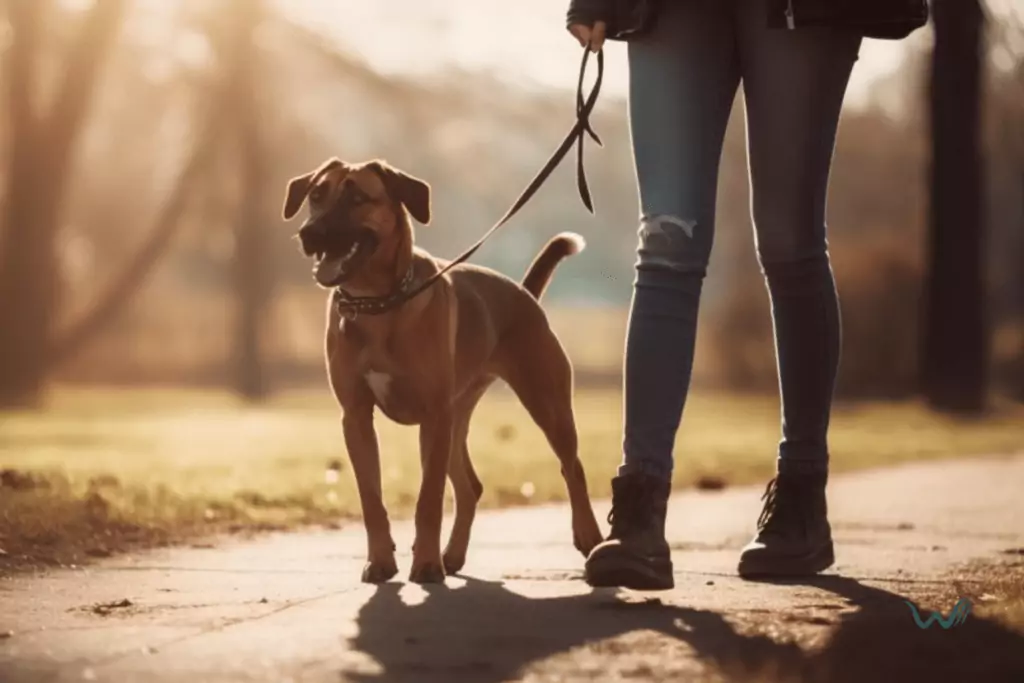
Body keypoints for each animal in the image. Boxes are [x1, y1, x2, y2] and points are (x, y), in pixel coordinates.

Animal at [280, 157, 602, 585]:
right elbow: (371, 499)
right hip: (454, 419)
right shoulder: (357, 418)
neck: (378, 303)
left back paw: (589, 536)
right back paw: (453, 553)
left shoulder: (433, 416)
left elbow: (429, 499)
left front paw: (427, 563)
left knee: (573, 468)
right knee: (470, 487)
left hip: (543, 403)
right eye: (316, 195)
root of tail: (524, 294)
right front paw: (381, 560)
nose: (309, 234)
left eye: (357, 198)